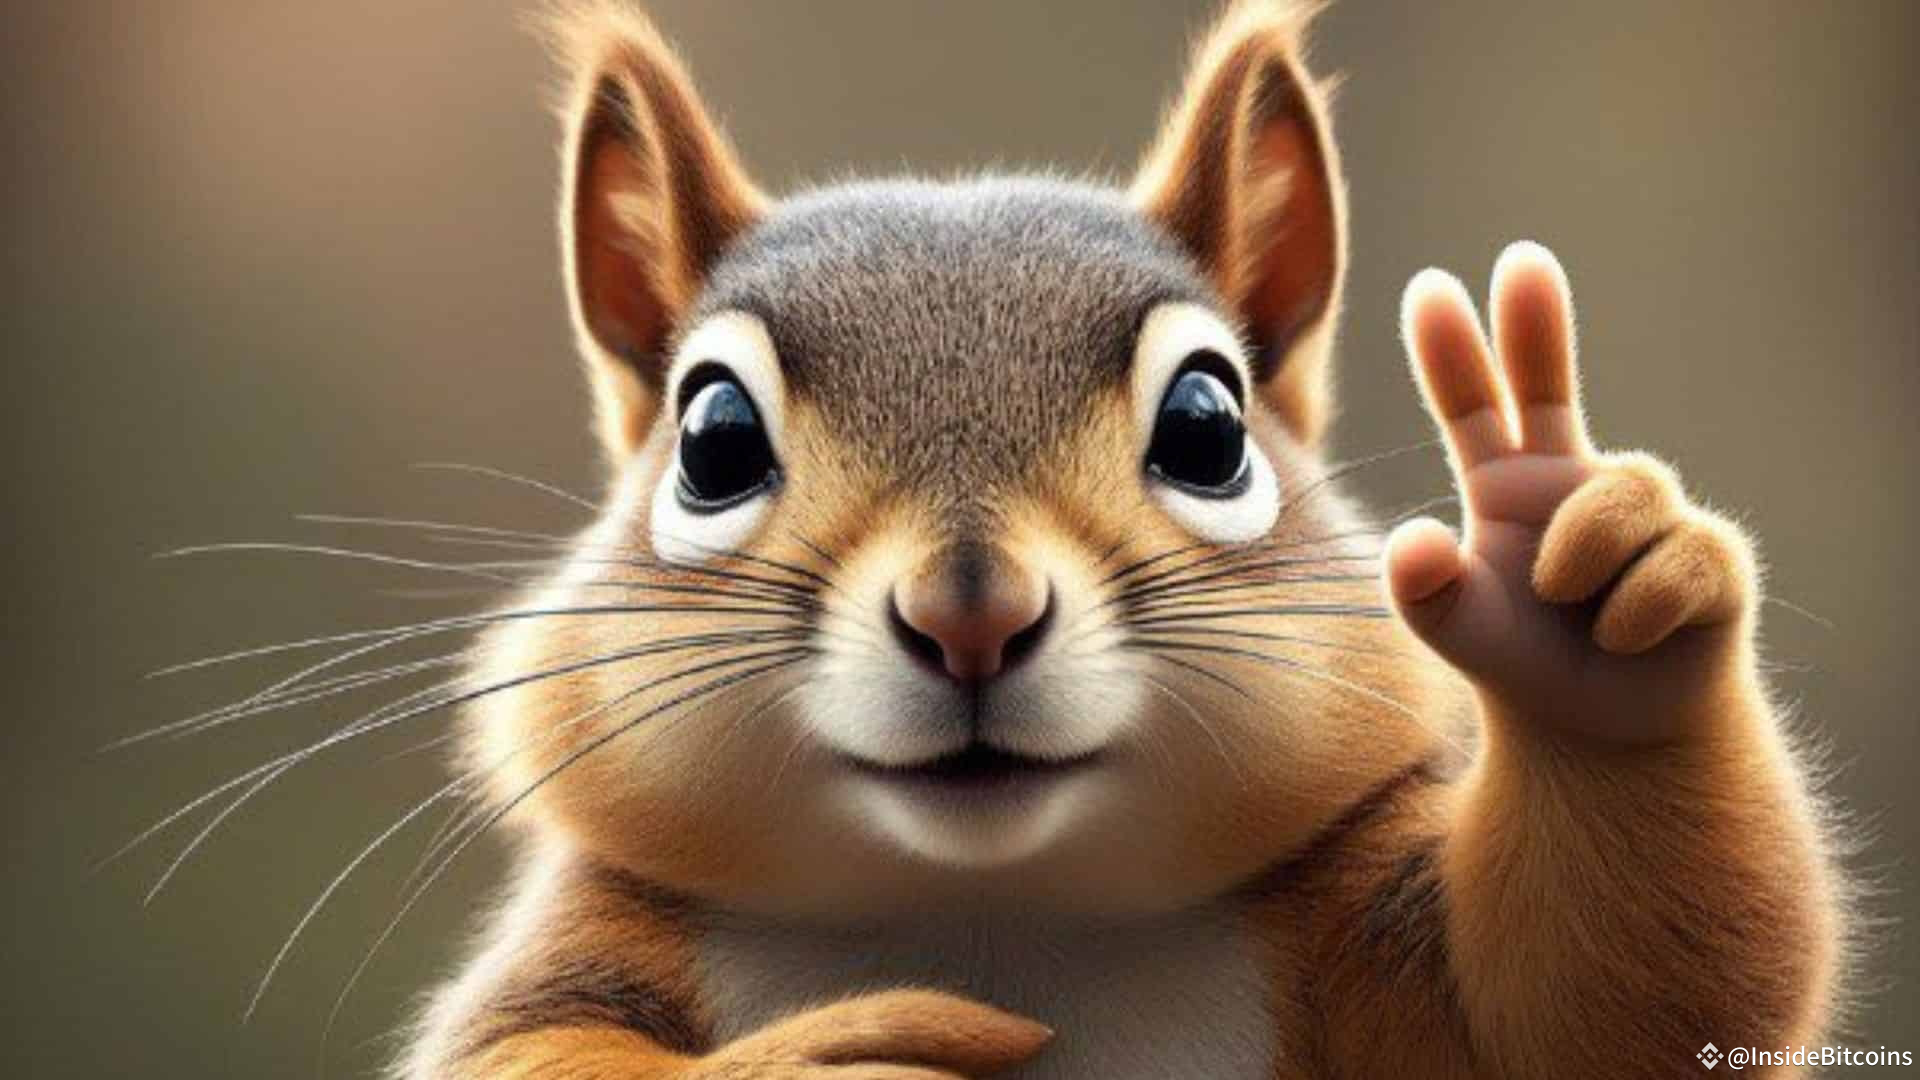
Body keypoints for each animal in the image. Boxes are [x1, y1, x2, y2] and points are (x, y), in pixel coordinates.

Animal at [401, 2, 1849, 1076]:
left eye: (1210, 426)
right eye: (711, 439)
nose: (971, 615)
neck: (991, 910)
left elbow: (1590, 1014)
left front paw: (1573, 592)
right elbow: (528, 1054)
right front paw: (833, 1054)